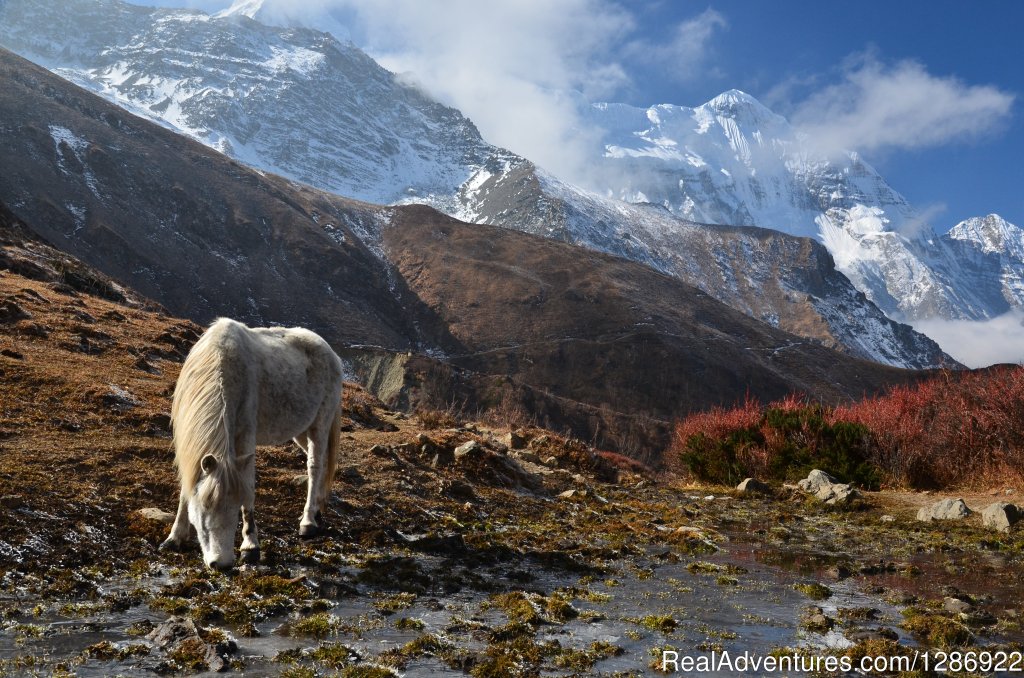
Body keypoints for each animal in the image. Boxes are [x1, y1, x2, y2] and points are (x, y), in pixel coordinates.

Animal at [159, 319, 344, 569]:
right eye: (205, 507)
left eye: (235, 505)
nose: (222, 564)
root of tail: (331, 352)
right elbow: (185, 487)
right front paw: (175, 537)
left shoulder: (245, 438)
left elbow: (248, 485)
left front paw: (250, 546)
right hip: (301, 431)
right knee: (322, 463)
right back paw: (317, 510)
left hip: (320, 424)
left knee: (314, 466)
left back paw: (308, 522)